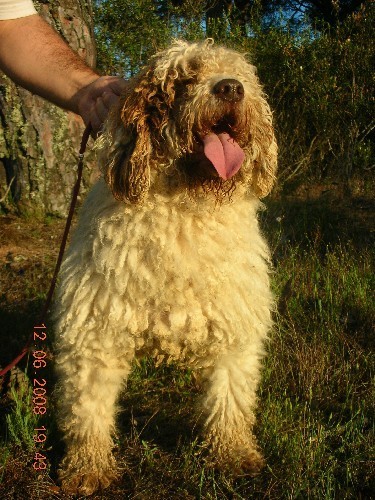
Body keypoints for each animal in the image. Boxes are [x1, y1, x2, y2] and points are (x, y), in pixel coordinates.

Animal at [54, 40, 278, 496]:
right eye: (185, 78)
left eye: (242, 75)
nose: (231, 88)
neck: (184, 209)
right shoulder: (94, 334)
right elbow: (89, 409)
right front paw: (88, 468)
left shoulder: (233, 332)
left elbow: (230, 400)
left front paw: (234, 454)